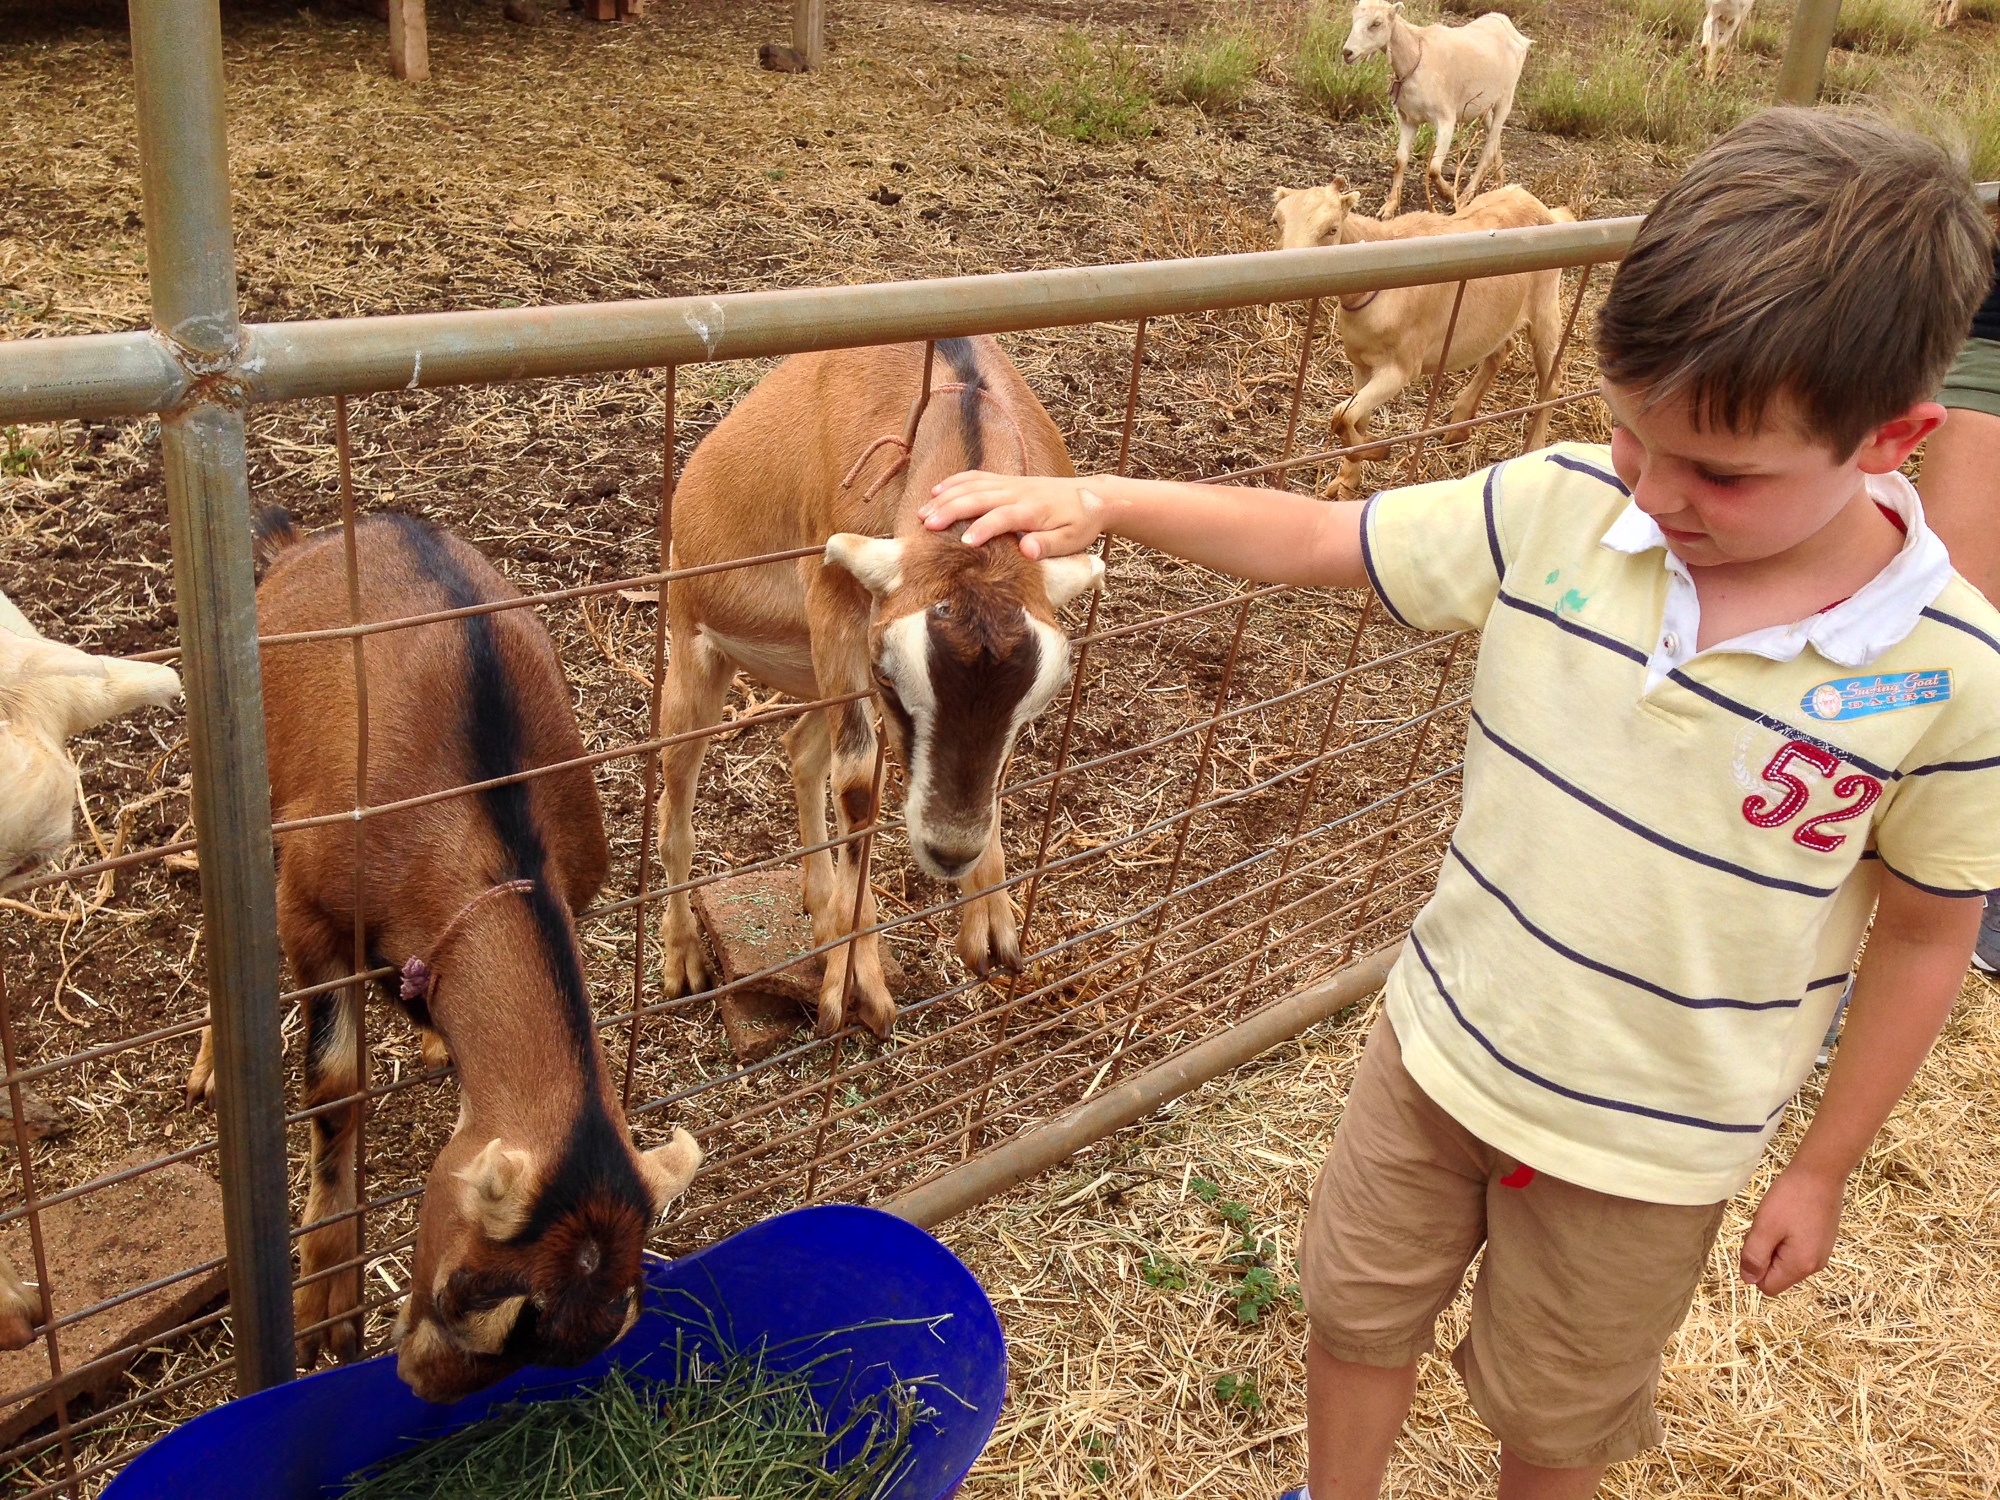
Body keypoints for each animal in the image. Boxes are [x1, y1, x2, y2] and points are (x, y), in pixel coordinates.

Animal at [652, 340, 1104, 1048]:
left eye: (1035, 704)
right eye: (891, 678)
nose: (949, 850)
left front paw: (990, 927)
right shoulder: (836, 603)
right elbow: (859, 786)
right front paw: (857, 983)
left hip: (810, 673)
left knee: (802, 748)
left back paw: (819, 905)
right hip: (698, 644)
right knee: (678, 798)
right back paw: (685, 961)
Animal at [1272, 181, 1568, 500]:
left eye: (1332, 229)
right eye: (1275, 221)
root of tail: (1542, 206)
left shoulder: (1399, 367)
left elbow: (1341, 415)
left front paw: (1381, 451)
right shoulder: (1361, 363)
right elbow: (1353, 418)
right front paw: (1346, 481)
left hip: (1545, 308)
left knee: (1551, 381)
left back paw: (1534, 449)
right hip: (1498, 319)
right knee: (1501, 351)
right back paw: (1458, 427)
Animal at [1344, 0, 1528, 217]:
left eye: (1376, 23)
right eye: (1353, 17)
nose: (1347, 53)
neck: (1417, 56)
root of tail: (1509, 27)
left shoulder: (1446, 120)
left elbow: (1433, 168)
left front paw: (1448, 193)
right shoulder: (1408, 120)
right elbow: (1400, 161)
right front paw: (1389, 207)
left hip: (1506, 98)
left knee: (1488, 150)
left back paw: (1464, 197)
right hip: (1483, 105)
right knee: (1495, 140)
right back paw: (1500, 185)